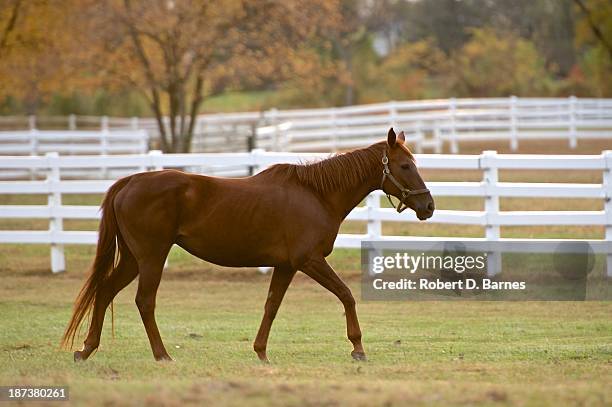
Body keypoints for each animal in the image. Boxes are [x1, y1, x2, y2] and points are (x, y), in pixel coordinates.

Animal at [62, 129, 432, 362]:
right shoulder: (309, 261)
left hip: (133, 259)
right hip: (152, 257)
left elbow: (271, 306)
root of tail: (130, 181)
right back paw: (162, 355)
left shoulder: (286, 266)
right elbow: (347, 295)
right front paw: (357, 348)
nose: (428, 206)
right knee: (144, 301)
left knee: (105, 291)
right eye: (404, 165)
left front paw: (261, 351)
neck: (316, 194)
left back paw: (87, 349)